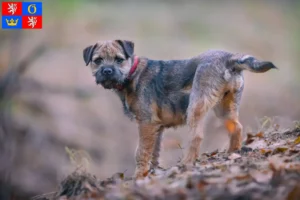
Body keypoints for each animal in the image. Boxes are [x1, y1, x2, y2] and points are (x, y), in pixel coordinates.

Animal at [82, 39, 276, 179]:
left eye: (119, 59)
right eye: (97, 60)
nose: (107, 71)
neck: (132, 73)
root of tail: (230, 58)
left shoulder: (146, 123)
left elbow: (141, 152)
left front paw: (138, 176)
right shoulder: (156, 128)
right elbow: (154, 152)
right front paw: (150, 173)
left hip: (196, 106)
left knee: (197, 137)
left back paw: (186, 164)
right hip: (225, 107)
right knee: (236, 127)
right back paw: (232, 153)